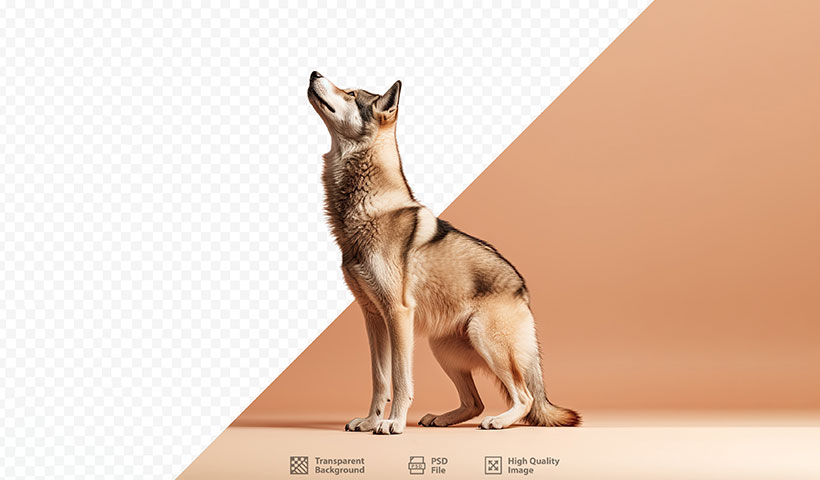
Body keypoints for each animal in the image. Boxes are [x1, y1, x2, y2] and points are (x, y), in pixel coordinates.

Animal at [307, 71, 580, 434]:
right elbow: (379, 379)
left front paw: (393, 423)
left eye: (350, 93)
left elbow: (400, 378)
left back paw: (498, 421)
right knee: (475, 402)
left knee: (524, 398)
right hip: (442, 348)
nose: (314, 73)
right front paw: (371, 421)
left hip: (484, 341)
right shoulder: (373, 318)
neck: (367, 207)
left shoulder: (398, 315)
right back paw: (441, 418)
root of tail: (523, 290)